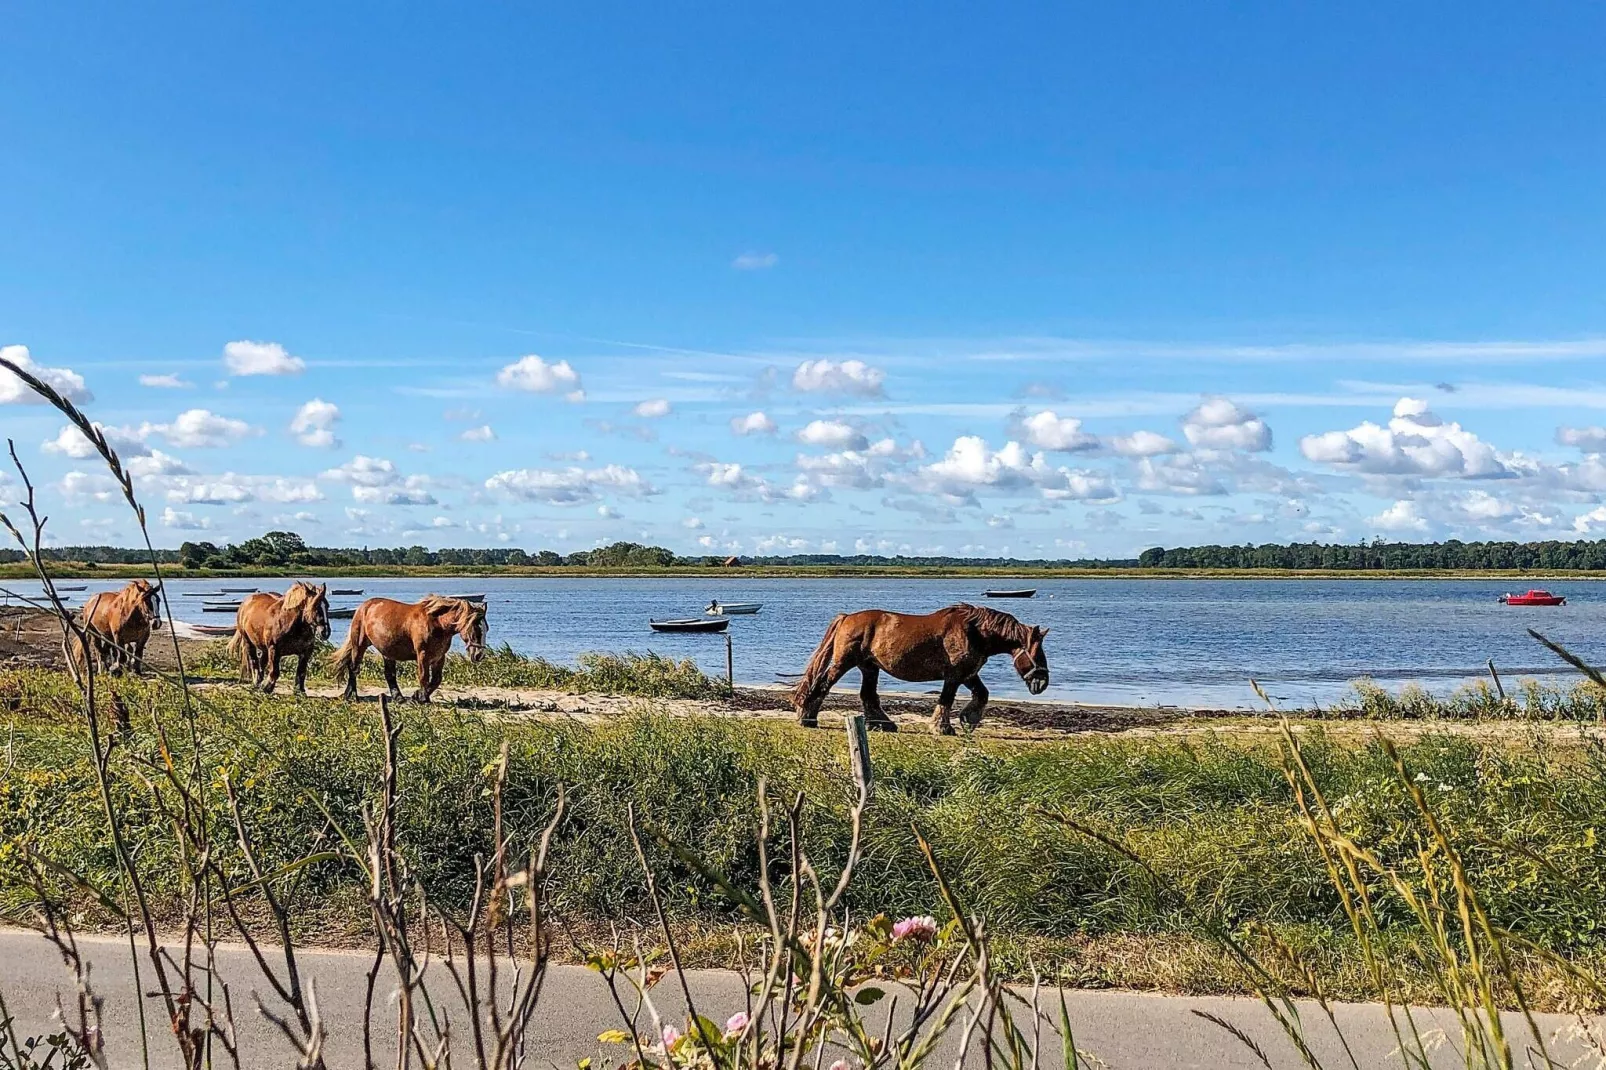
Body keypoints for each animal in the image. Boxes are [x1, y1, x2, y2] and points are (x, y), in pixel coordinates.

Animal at [332, 594, 488, 703]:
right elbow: (424, 677)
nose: (479, 655)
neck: (437, 623)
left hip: (387, 652)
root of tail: (363, 607)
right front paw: (422, 698)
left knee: (389, 675)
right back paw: (352, 695)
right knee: (353, 668)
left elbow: (436, 680)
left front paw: (417, 696)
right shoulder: (423, 655)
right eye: (475, 629)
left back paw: (398, 698)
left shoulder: (439, 657)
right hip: (359, 645)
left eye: (486, 629)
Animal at [793, 600, 1053, 732]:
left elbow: (982, 694)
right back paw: (808, 718)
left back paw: (883, 724)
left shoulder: (969, 674)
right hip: (843, 663)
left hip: (869, 667)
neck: (974, 632)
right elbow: (946, 699)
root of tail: (846, 617)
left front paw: (969, 720)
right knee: (822, 685)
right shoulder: (955, 675)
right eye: (1037, 653)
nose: (1041, 683)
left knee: (868, 695)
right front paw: (942, 727)